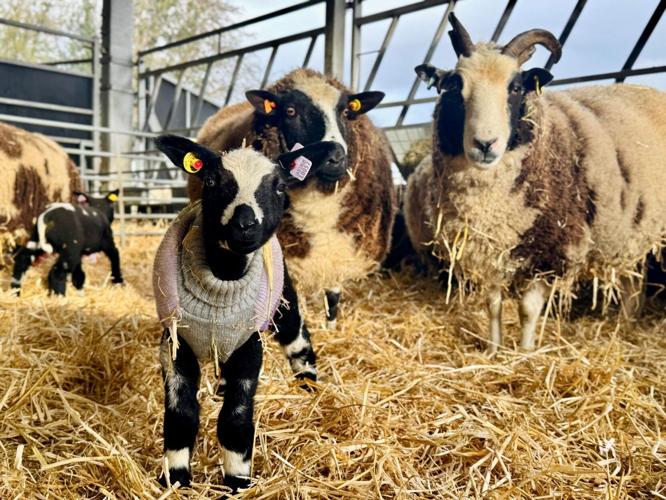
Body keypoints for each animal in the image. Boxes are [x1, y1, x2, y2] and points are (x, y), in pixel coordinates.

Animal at [153, 135, 337, 493]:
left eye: (279, 186)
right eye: (211, 181)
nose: (244, 225)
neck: (222, 278)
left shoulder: (250, 344)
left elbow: (235, 417)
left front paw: (237, 480)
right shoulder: (175, 343)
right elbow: (181, 413)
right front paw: (176, 478)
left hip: (284, 300)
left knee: (297, 337)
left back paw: (308, 383)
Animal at [189, 68, 396, 328]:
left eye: (346, 112)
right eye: (290, 111)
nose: (336, 157)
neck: (317, 205)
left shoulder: (339, 249)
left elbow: (333, 294)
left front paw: (330, 326)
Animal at [405, 13, 666, 353]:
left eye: (515, 87)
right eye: (454, 86)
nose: (485, 144)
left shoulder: (549, 247)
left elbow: (528, 309)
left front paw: (526, 352)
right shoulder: (491, 246)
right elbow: (493, 305)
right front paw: (494, 350)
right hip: (631, 230)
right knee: (632, 279)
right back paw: (626, 322)